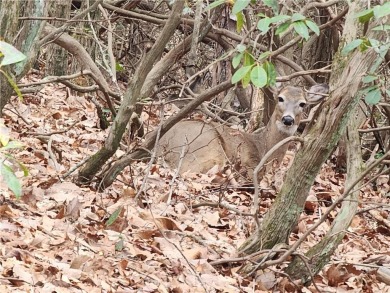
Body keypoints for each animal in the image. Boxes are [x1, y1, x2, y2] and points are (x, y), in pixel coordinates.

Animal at [155, 84, 330, 178]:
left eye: (302, 103)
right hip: (206, 148)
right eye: (280, 98)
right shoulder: (249, 160)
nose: (288, 119)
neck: (263, 147)